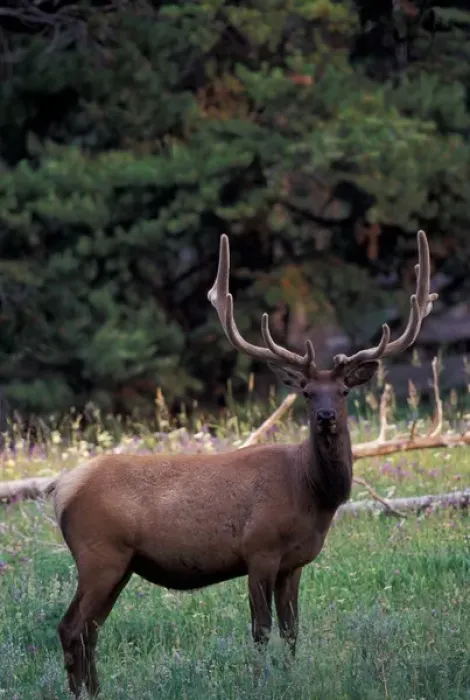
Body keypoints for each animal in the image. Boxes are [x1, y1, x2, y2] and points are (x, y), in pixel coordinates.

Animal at [46, 230, 437, 697]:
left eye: (343, 391)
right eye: (307, 392)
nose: (325, 416)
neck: (310, 492)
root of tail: (60, 488)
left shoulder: (294, 563)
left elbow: (291, 630)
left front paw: (291, 677)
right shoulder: (259, 550)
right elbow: (261, 629)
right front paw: (260, 681)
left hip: (120, 564)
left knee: (90, 629)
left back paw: (96, 690)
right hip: (99, 554)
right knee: (71, 627)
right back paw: (81, 690)